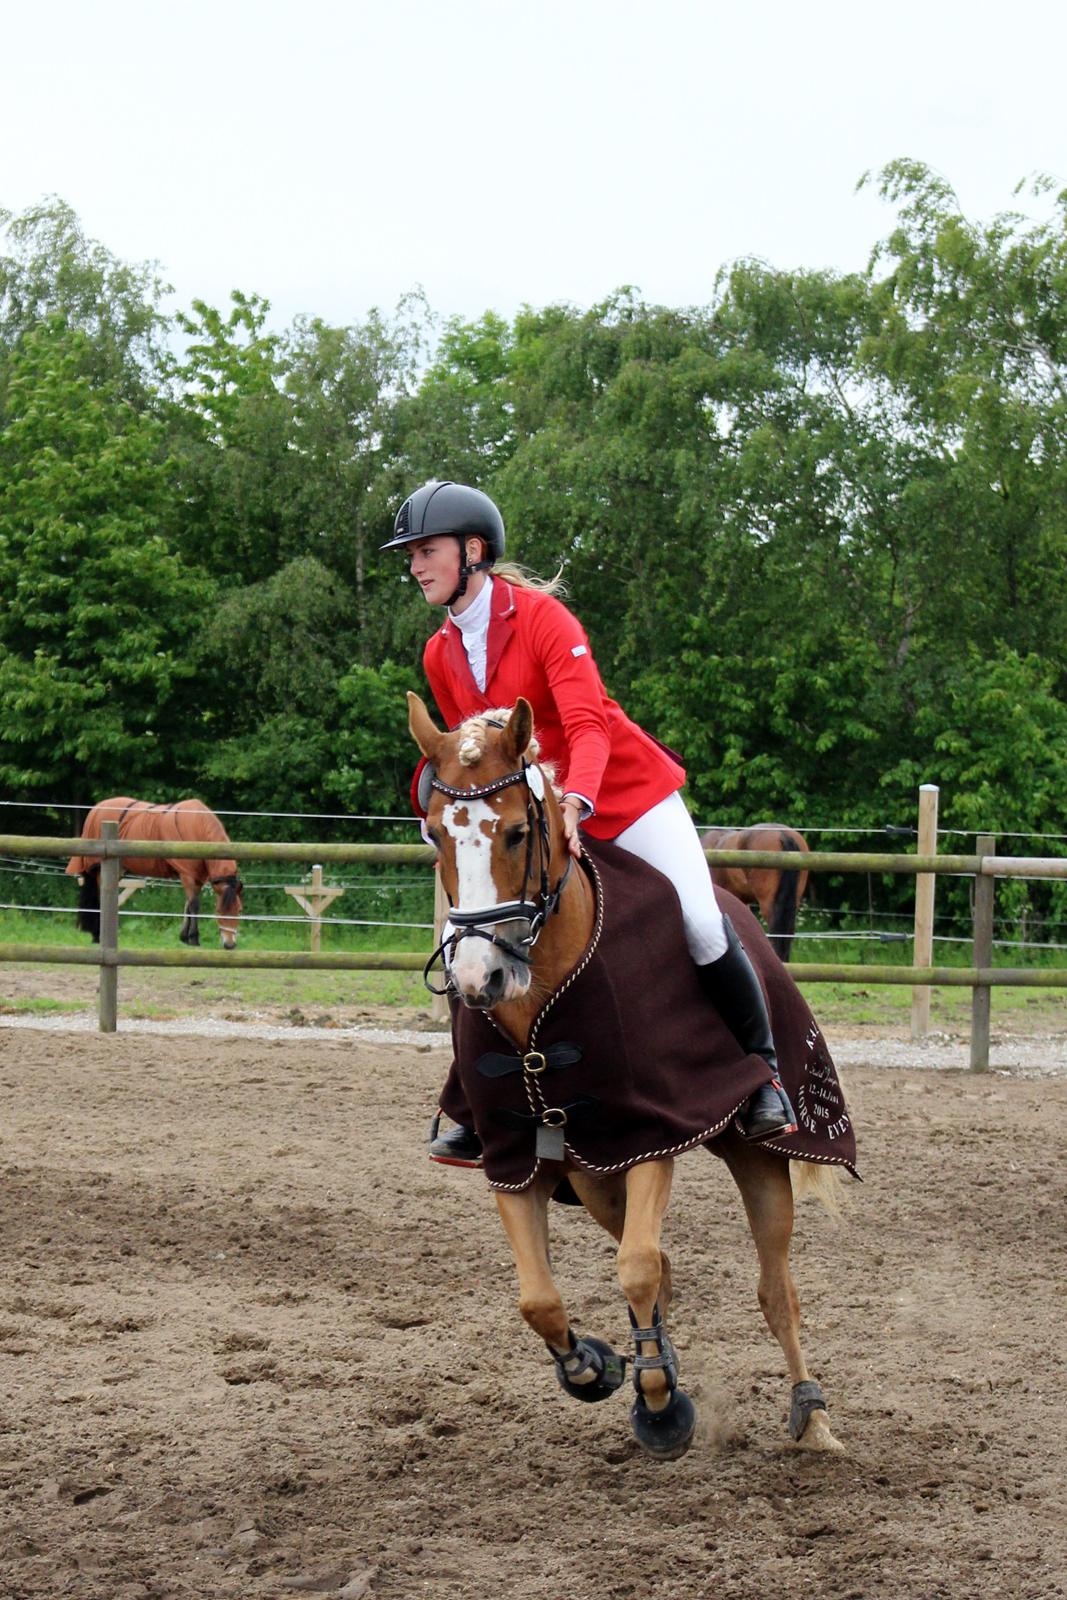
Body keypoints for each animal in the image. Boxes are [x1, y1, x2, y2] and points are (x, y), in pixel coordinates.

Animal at [66, 797, 244, 950]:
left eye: (240, 910)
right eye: (219, 911)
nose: (230, 944)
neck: (197, 827)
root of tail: (97, 808)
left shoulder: (195, 878)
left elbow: (187, 905)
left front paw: (184, 937)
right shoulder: (187, 874)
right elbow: (194, 905)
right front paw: (194, 938)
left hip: (117, 869)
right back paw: (98, 935)